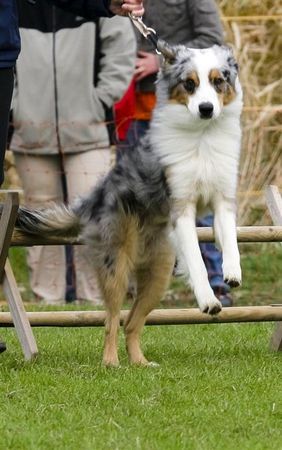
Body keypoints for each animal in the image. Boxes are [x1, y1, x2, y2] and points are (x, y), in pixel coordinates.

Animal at [13, 40, 242, 368]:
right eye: (189, 83)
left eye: (218, 81)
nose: (206, 108)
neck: (203, 136)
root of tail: (90, 201)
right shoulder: (180, 208)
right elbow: (197, 262)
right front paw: (209, 301)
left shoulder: (223, 199)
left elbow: (231, 239)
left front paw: (233, 272)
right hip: (117, 265)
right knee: (111, 321)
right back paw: (111, 363)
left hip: (158, 274)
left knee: (132, 322)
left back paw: (141, 364)